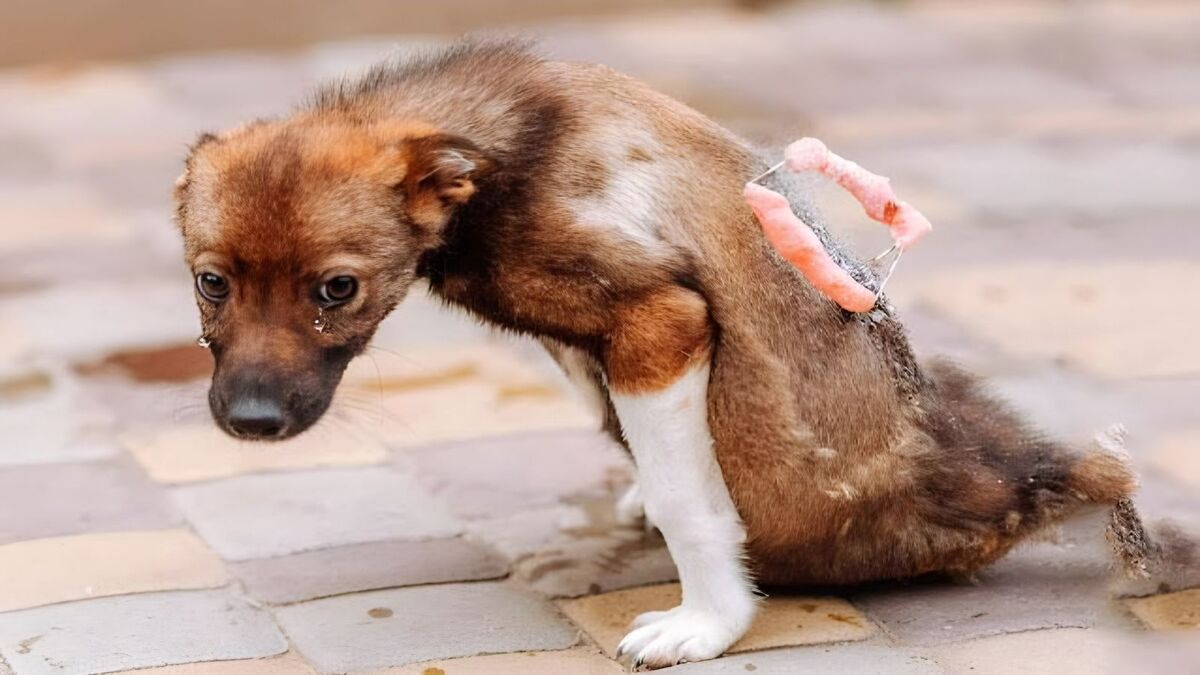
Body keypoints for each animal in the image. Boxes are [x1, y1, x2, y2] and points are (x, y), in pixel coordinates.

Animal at [174, 42, 1195, 667]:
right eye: (211, 281)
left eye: (336, 290)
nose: (250, 424)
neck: (497, 153)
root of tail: (1032, 483)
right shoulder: (602, 346)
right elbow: (651, 459)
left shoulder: (660, 320)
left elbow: (686, 498)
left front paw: (707, 624)